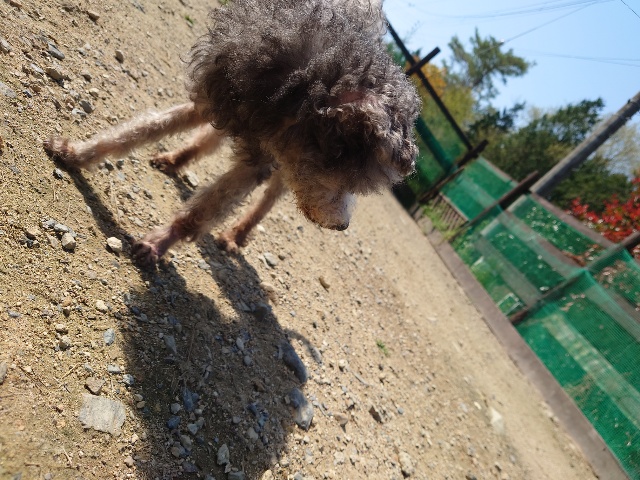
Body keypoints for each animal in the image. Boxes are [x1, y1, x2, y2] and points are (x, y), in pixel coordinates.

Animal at [44, 0, 420, 265]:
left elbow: (205, 209)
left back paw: (237, 234)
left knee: (269, 198)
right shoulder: (218, 99)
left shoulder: (269, 160)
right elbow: (142, 129)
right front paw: (76, 153)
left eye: (358, 185)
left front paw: (159, 242)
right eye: (347, 181)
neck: (301, 90)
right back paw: (176, 159)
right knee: (211, 139)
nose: (342, 226)